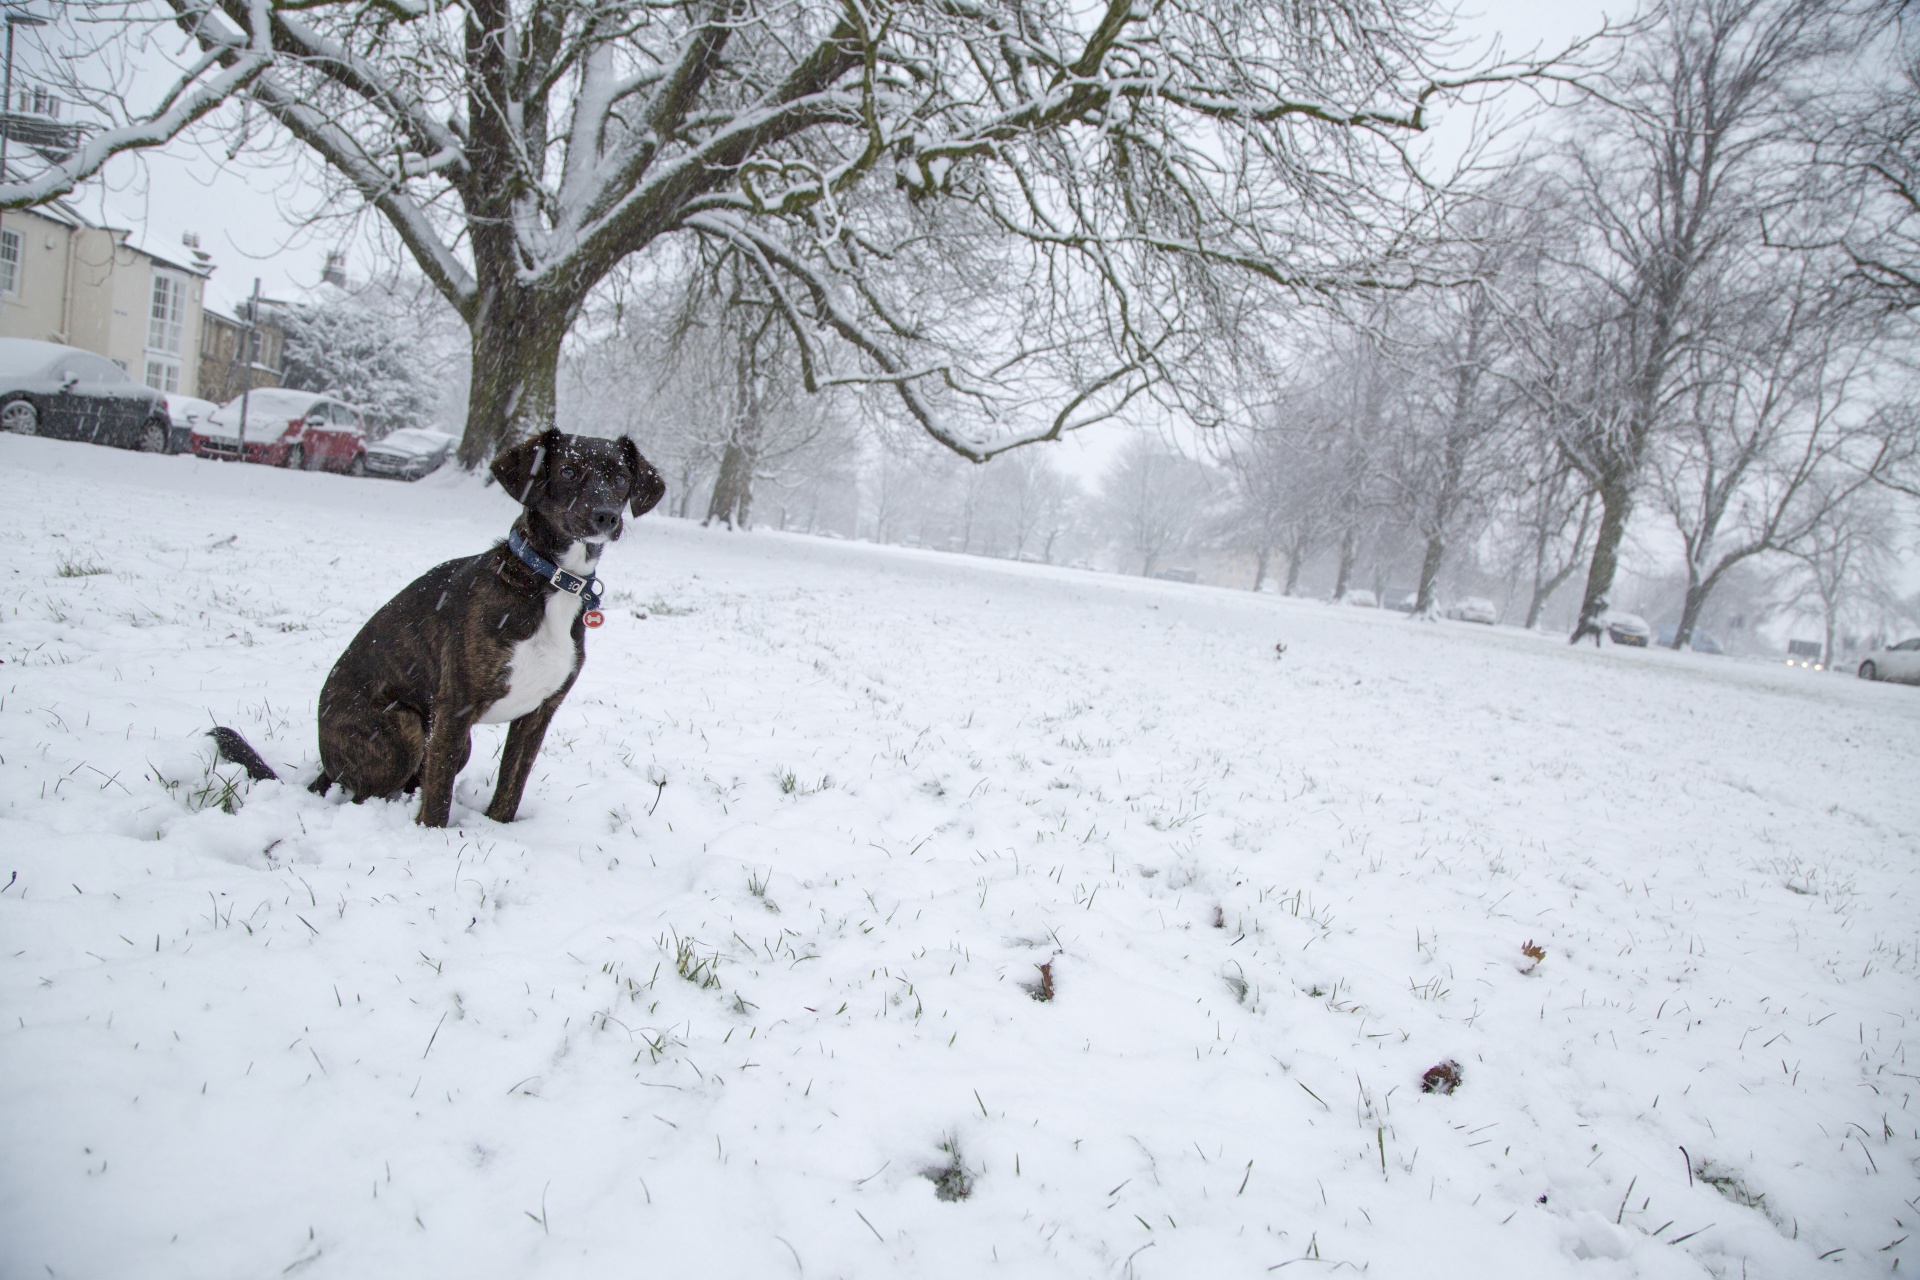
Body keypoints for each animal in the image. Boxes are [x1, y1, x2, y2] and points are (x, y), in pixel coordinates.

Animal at [216, 429, 664, 832]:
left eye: (620, 478)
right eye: (569, 470)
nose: (606, 516)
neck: (547, 580)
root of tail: (327, 766)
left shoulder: (538, 713)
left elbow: (510, 787)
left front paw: (499, 830)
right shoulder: (457, 706)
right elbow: (438, 798)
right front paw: (433, 840)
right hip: (405, 729)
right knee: (367, 792)